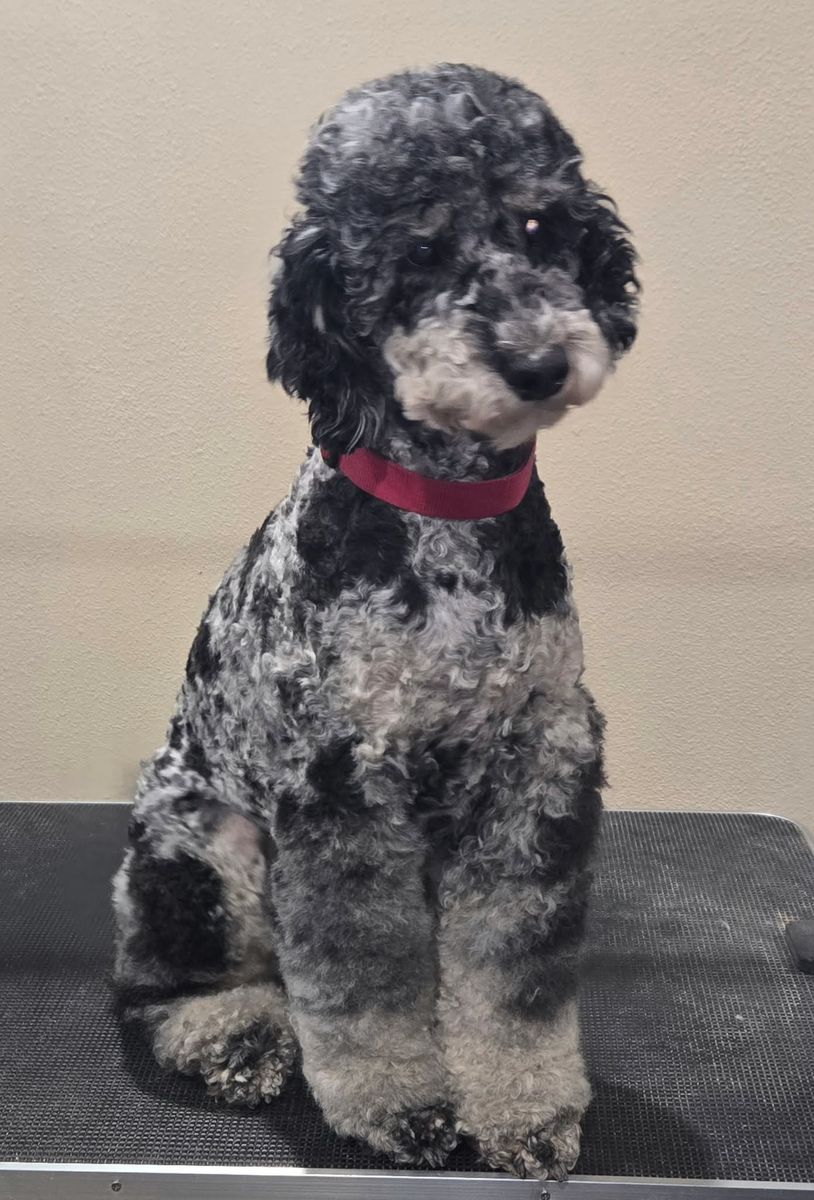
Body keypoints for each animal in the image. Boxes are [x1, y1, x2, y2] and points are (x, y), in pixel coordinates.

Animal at [112, 63, 638, 1180]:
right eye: (417, 253)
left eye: (540, 224)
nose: (537, 362)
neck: (446, 524)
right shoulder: (340, 785)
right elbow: (362, 981)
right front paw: (400, 1106)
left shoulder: (539, 767)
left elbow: (515, 979)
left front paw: (525, 1112)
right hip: (202, 846)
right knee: (162, 984)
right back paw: (235, 1036)